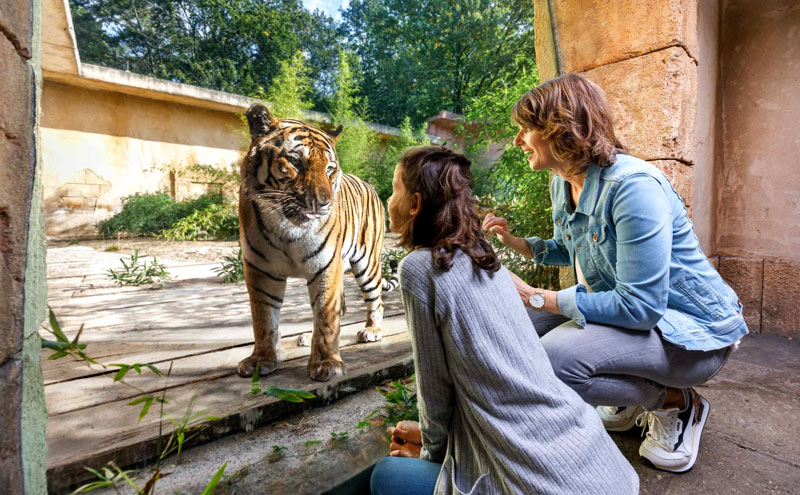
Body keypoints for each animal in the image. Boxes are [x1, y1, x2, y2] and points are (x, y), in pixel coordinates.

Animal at [238, 103, 394, 384]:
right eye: (294, 162)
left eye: (329, 168)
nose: (323, 203)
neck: (286, 229)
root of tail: (369, 184)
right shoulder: (260, 269)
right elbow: (263, 319)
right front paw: (261, 360)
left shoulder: (326, 266)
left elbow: (325, 316)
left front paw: (326, 363)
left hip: (367, 263)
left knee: (376, 299)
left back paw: (372, 330)